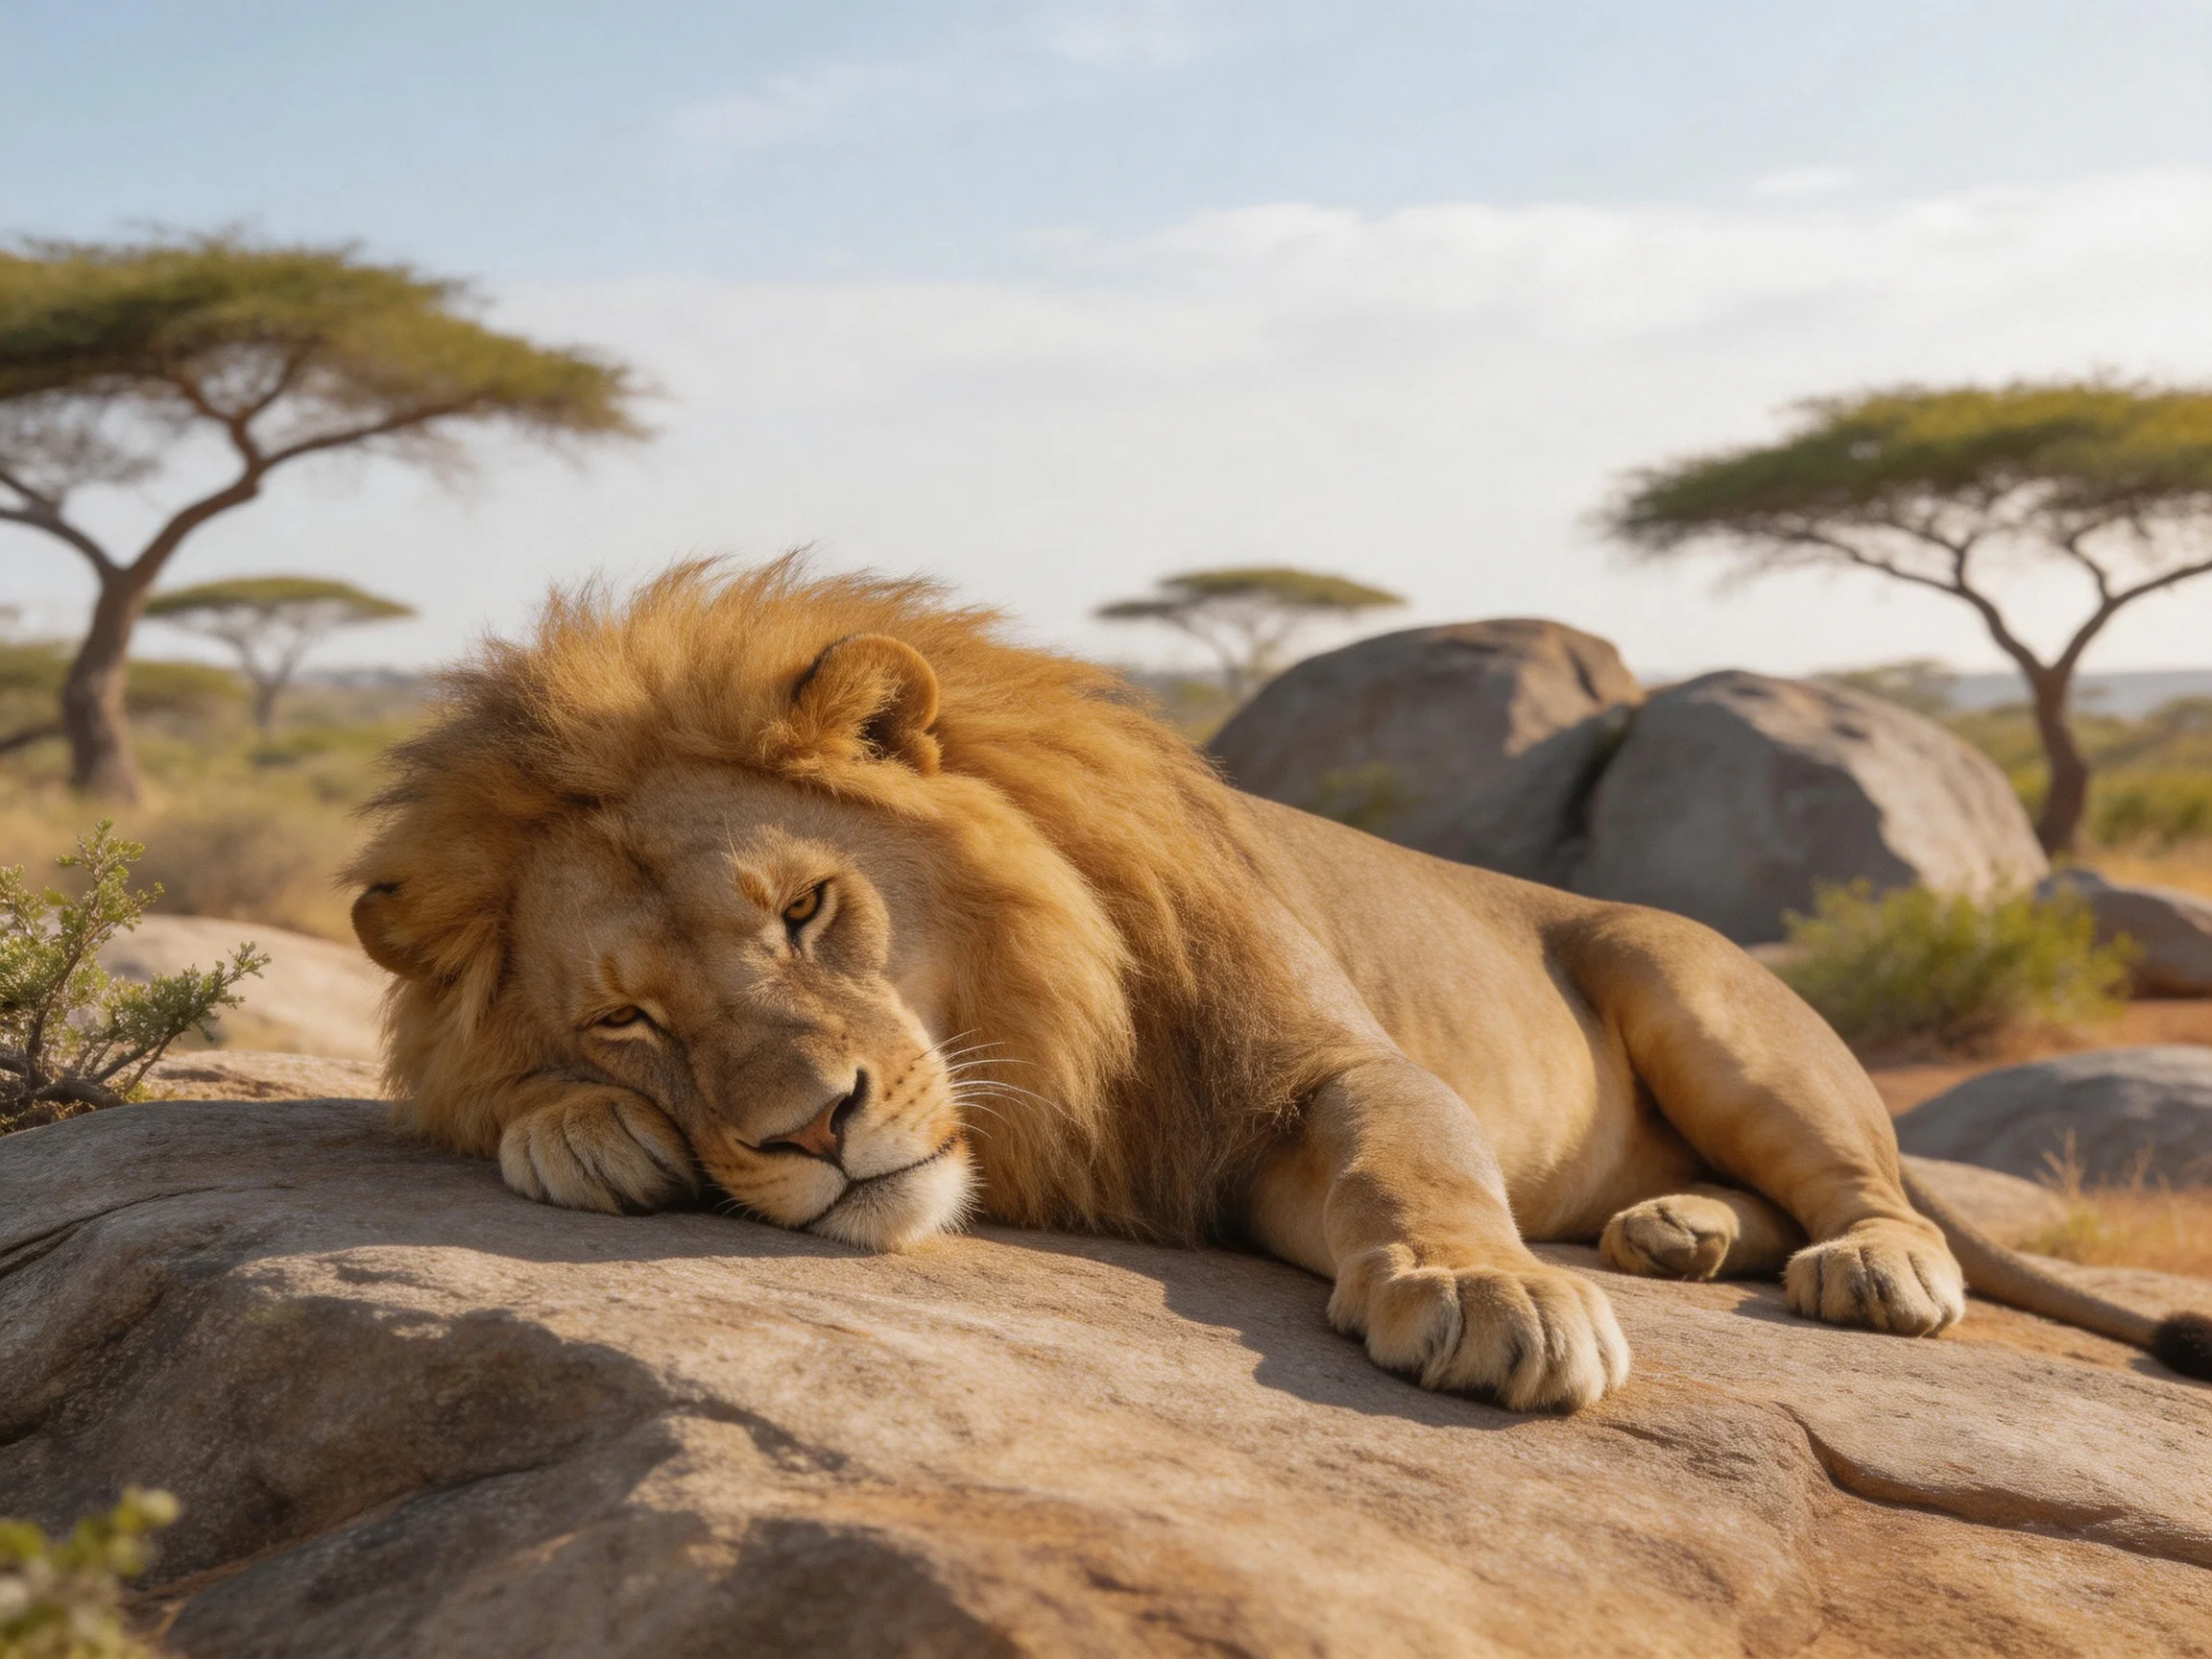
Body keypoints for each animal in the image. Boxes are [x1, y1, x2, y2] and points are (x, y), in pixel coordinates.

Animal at [349, 561, 2212, 1411]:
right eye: (625, 1019)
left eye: (806, 910)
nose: (815, 1128)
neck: (1037, 1023)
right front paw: (575, 1129)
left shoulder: (1305, 1077)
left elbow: (1414, 1160)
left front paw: (1486, 1292)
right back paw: (1672, 1228)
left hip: (1687, 976)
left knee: (1861, 1178)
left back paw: (1862, 1264)